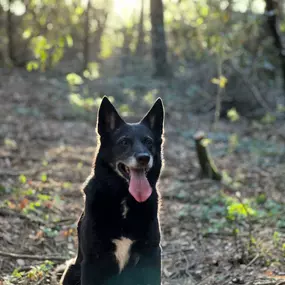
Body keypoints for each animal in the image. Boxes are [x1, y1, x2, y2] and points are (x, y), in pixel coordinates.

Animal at [60, 96, 164, 282]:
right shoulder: (93, 261)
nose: (144, 158)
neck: (124, 198)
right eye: (124, 142)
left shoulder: (152, 255)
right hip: (73, 269)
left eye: (149, 142)